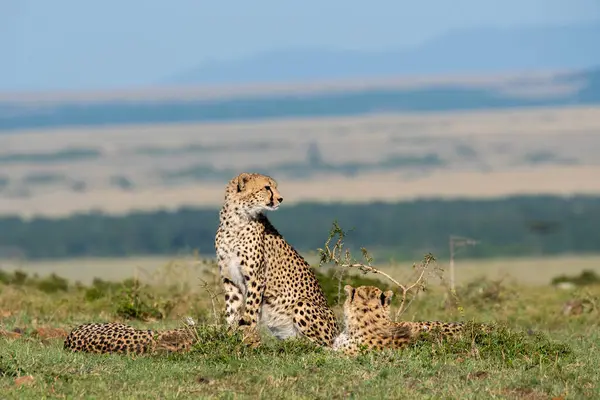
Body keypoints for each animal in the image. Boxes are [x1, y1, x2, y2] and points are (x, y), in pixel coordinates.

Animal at [216, 172, 340, 346]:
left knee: (325, 346)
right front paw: (229, 336)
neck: (236, 219)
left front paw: (248, 338)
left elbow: (250, 310)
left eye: (275, 187)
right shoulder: (230, 279)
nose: (281, 199)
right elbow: (232, 311)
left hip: (303, 304)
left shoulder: (256, 279)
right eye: (267, 187)